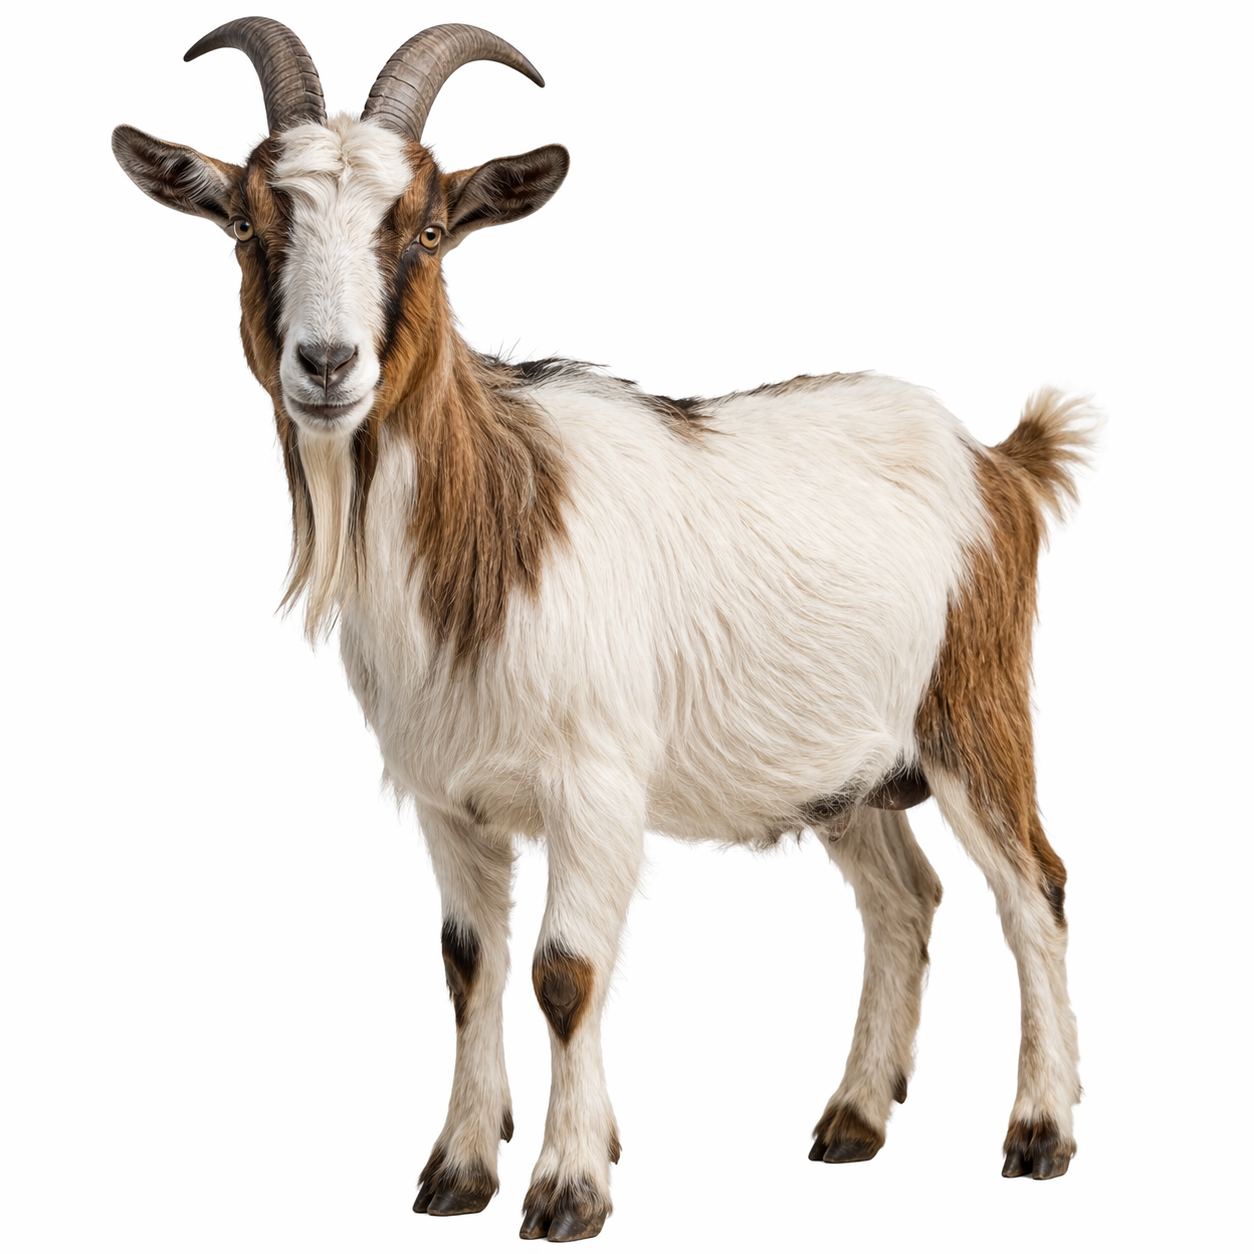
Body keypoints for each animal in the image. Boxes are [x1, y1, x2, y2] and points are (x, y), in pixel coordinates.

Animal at [113, 18, 1093, 1242]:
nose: (328, 365)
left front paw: (569, 1188)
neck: (497, 533)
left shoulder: (595, 786)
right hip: (848, 775)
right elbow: (469, 966)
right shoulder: (448, 796)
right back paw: (853, 1120)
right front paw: (458, 1171)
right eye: (248, 225)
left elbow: (564, 973)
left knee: (1033, 890)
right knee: (902, 900)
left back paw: (1040, 1132)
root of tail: (998, 459)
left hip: (973, 708)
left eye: (427, 230)